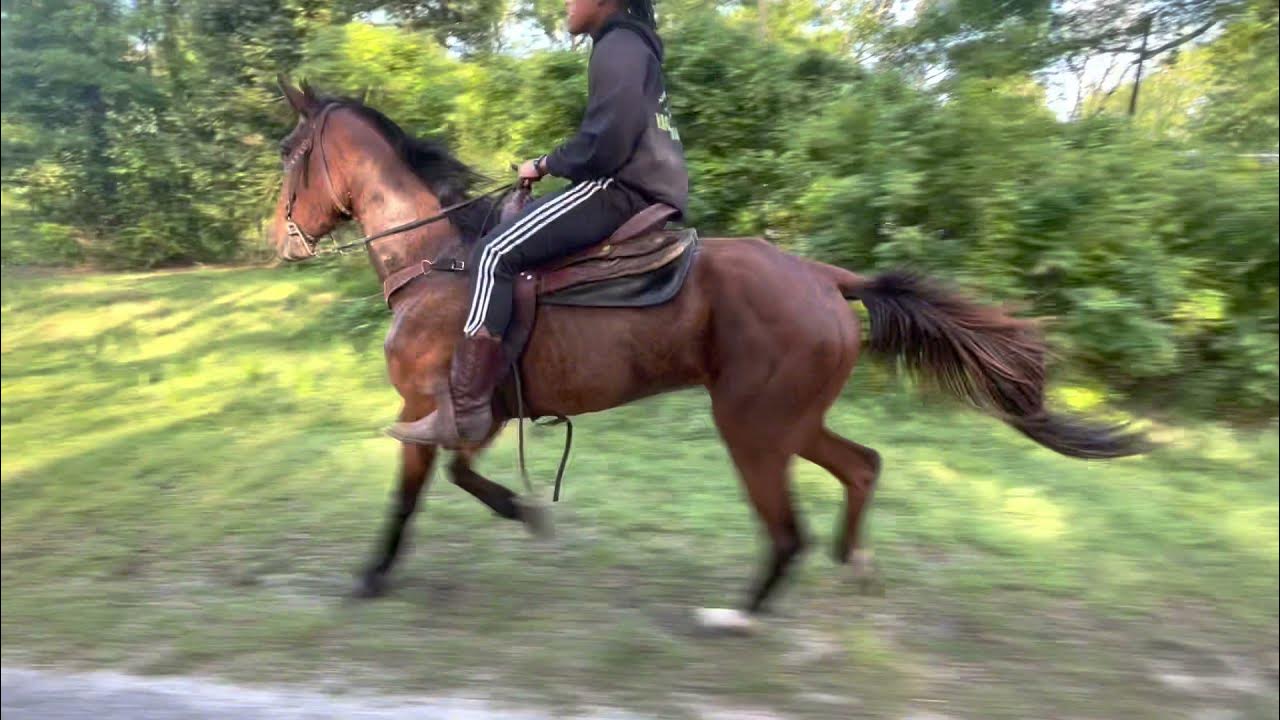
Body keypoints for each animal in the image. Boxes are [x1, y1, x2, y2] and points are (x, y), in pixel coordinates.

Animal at [266, 79, 1145, 623]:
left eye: (289, 154)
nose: (279, 238)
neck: (438, 263)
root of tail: (828, 278)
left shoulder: (426, 407)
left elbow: (411, 493)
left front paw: (371, 575)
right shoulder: (476, 413)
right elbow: (460, 474)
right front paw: (526, 511)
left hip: (754, 427)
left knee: (787, 530)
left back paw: (739, 616)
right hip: (790, 421)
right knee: (862, 468)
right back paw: (853, 564)